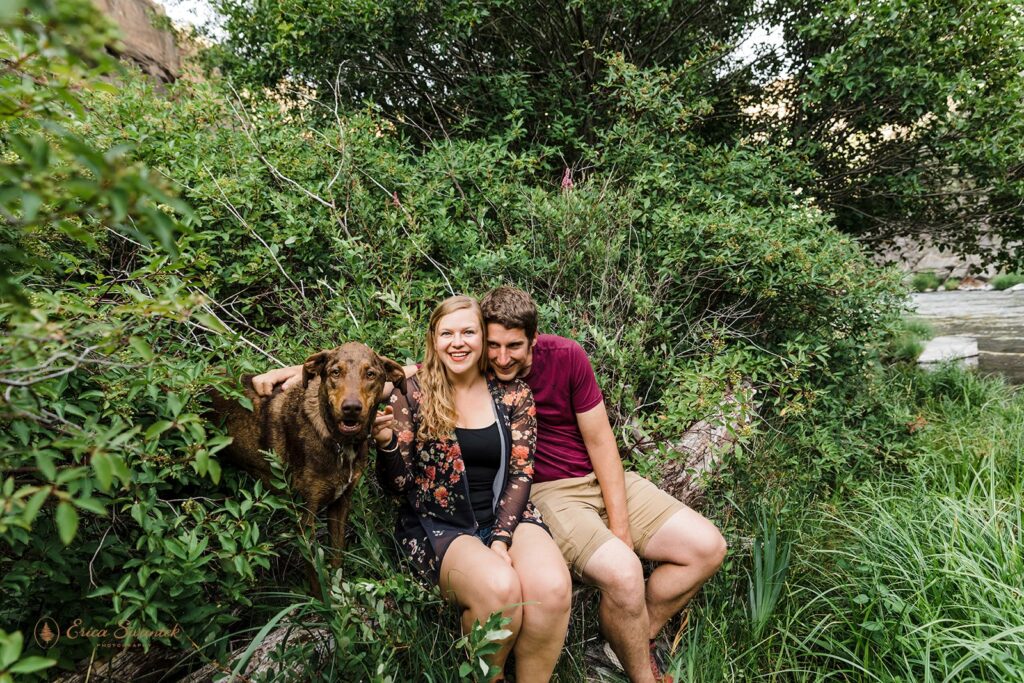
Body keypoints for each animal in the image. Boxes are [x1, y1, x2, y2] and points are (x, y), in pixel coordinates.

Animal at [209, 344, 405, 589]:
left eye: (371, 374)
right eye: (335, 372)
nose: (351, 408)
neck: (341, 444)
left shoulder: (341, 503)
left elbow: (337, 558)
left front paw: (340, 592)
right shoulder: (305, 516)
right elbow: (315, 574)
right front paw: (324, 598)